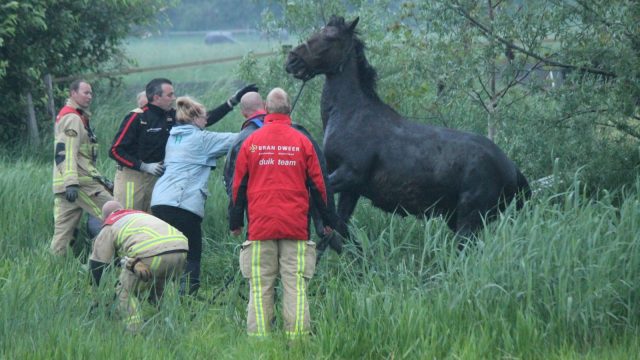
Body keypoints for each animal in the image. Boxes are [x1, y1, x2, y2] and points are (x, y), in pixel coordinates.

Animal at [284, 15, 528, 238]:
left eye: (331, 37)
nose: (292, 61)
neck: (351, 114)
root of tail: (512, 169)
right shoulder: (351, 189)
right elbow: (340, 225)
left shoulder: (348, 175)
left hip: (470, 219)